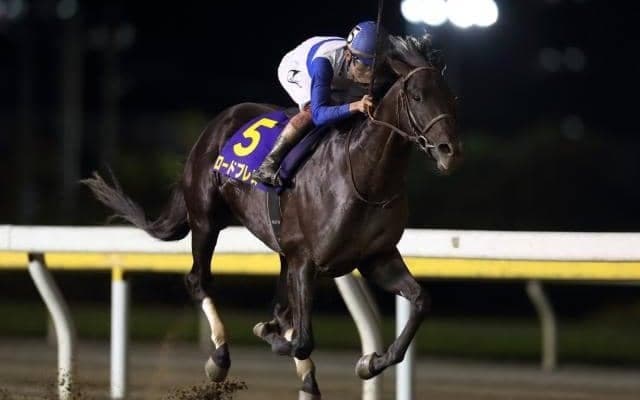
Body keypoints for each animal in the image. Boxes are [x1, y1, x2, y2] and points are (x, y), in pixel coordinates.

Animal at [82, 35, 460, 399]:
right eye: (416, 96)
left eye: (451, 97)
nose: (449, 152)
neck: (366, 176)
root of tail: (216, 124)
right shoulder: (306, 260)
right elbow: (301, 339)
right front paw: (274, 336)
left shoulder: (375, 258)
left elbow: (421, 302)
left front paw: (369, 362)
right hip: (206, 220)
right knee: (198, 280)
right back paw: (220, 358)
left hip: (279, 247)